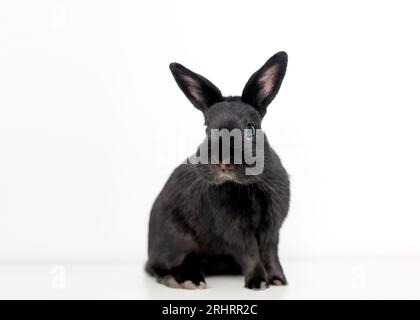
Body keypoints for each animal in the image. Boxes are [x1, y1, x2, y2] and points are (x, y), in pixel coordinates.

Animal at [147, 52, 288, 290]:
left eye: (251, 129)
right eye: (207, 129)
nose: (222, 162)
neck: (248, 186)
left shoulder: (271, 227)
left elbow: (270, 252)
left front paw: (278, 280)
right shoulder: (234, 230)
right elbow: (250, 253)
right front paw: (258, 282)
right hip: (174, 239)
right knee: (159, 267)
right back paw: (187, 280)